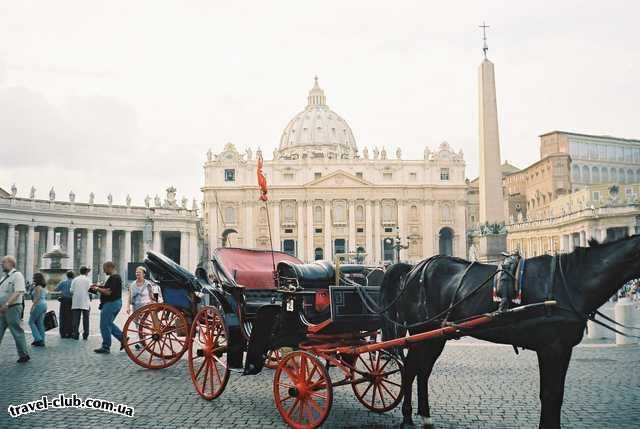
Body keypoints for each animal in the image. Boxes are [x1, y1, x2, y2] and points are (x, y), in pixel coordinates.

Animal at [380, 234, 640, 428]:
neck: (570, 281)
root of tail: (413, 269)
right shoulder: (551, 348)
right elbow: (550, 394)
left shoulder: (563, 349)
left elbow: (555, 395)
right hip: (421, 332)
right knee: (410, 369)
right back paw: (406, 418)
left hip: (436, 336)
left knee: (422, 371)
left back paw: (425, 416)